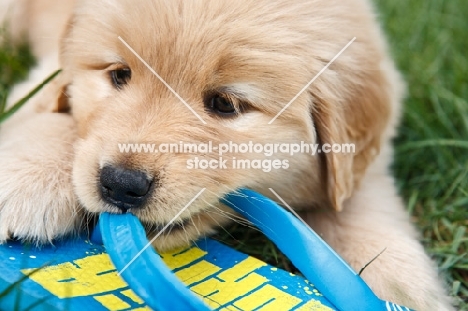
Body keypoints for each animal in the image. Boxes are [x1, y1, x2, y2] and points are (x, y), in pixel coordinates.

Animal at [0, 0, 454, 310]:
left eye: (225, 104)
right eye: (120, 75)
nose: (120, 184)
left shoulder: (369, 155)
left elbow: (359, 205)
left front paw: (396, 280)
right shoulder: (44, 76)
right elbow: (52, 115)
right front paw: (27, 175)